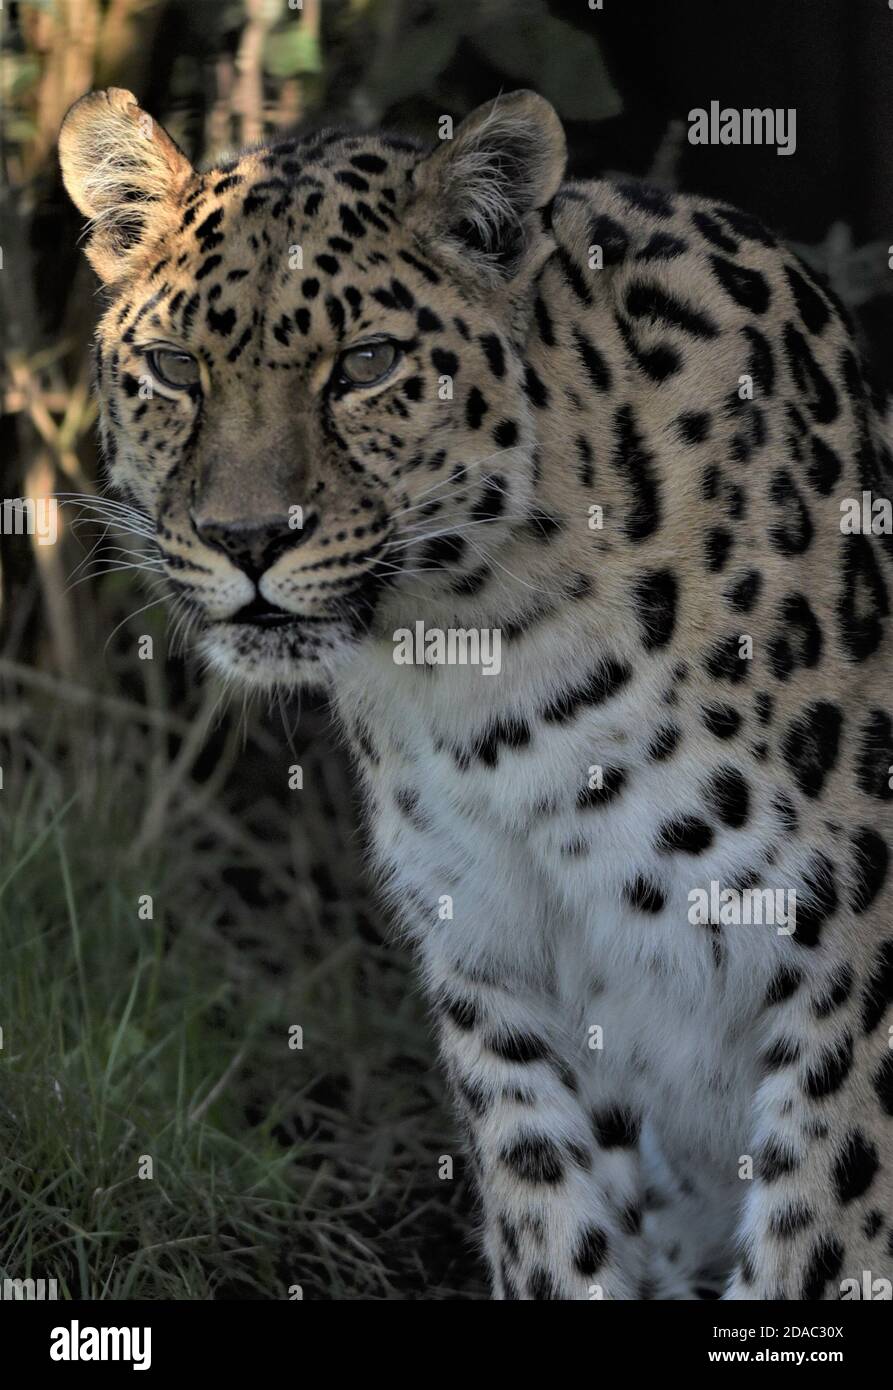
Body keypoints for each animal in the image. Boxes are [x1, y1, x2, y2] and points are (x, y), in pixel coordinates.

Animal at [60, 86, 890, 1301]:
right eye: (173, 367)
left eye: (365, 363)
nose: (246, 539)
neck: (478, 662)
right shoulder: (498, 979)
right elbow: (554, 1228)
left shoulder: (845, 979)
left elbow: (822, 1233)